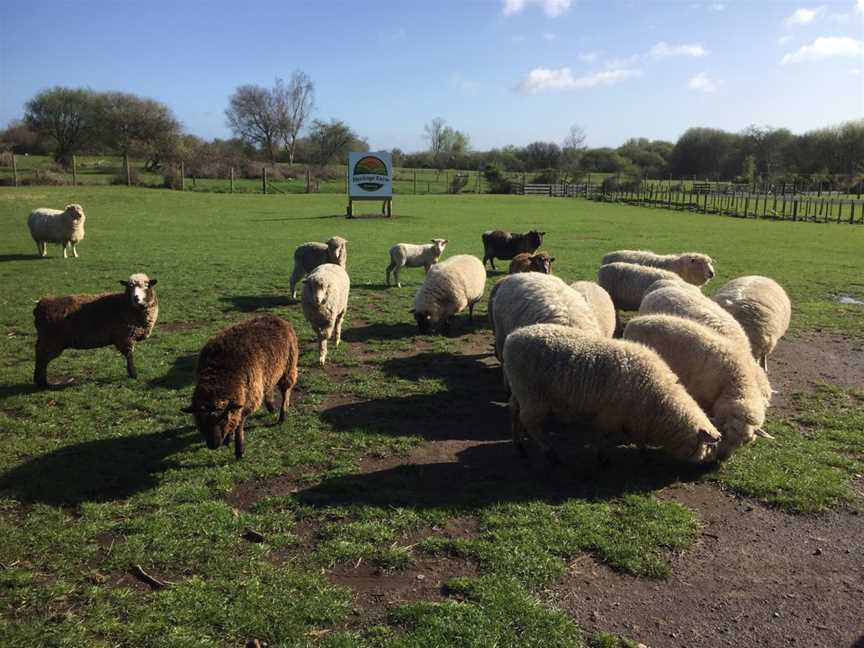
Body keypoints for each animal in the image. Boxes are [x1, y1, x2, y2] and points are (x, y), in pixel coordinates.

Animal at [181, 316, 298, 458]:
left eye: (223, 419)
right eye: (200, 420)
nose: (213, 445)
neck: (222, 373)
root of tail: (275, 318)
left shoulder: (248, 399)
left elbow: (239, 424)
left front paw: (239, 449)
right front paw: (229, 438)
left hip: (288, 366)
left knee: (286, 391)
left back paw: (282, 416)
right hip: (268, 372)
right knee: (268, 387)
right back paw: (271, 407)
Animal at [502, 324, 720, 466]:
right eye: (710, 446)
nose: (712, 463)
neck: (659, 398)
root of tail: (512, 338)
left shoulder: (633, 416)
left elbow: (636, 436)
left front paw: (643, 451)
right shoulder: (611, 414)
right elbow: (604, 435)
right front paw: (602, 455)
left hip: (519, 389)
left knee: (514, 412)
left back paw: (518, 444)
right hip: (532, 393)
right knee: (530, 422)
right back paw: (549, 450)